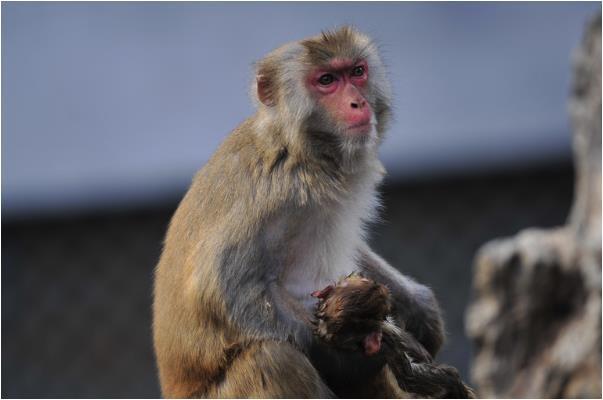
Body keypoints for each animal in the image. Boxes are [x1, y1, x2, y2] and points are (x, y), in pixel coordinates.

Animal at [153, 26, 444, 398]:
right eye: (326, 80)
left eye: (357, 72)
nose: (358, 103)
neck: (302, 149)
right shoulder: (277, 192)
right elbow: (220, 286)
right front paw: (344, 359)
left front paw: (419, 309)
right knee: (273, 358)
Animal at [312, 274, 476, 398]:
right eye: (367, 317)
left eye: (365, 281)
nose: (379, 286)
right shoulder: (387, 347)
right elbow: (410, 378)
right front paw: (454, 382)